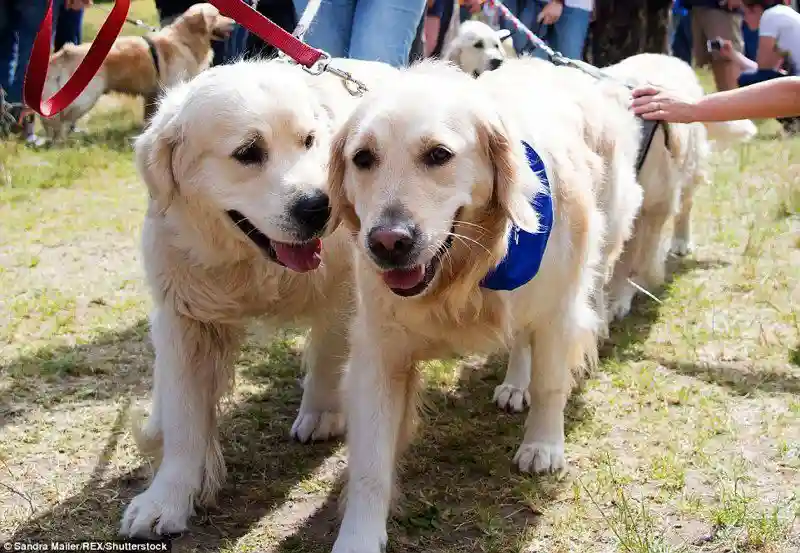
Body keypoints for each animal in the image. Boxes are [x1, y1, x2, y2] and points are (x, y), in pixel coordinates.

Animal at [39, 3, 233, 141]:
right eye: (217, 15)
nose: (233, 23)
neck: (185, 39)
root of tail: (68, 51)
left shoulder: (152, 95)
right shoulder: (171, 86)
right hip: (87, 95)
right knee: (59, 118)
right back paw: (61, 141)